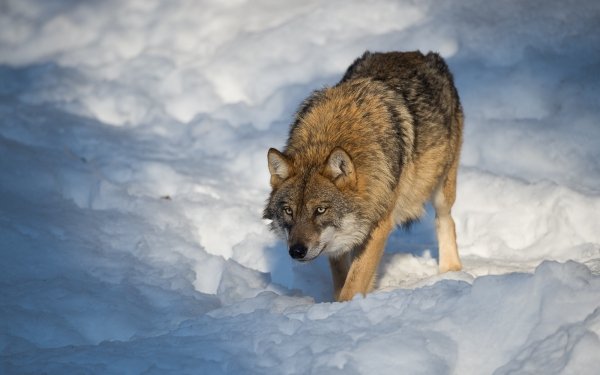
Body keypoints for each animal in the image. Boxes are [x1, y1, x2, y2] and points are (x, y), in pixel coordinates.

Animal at [264, 50, 464, 302]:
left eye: (320, 210)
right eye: (288, 210)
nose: (296, 251)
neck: (329, 137)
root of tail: (415, 53)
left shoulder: (379, 225)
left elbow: (355, 280)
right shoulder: (338, 241)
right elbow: (342, 275)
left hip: (441, 189)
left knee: (446, 220)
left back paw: (451, 272)